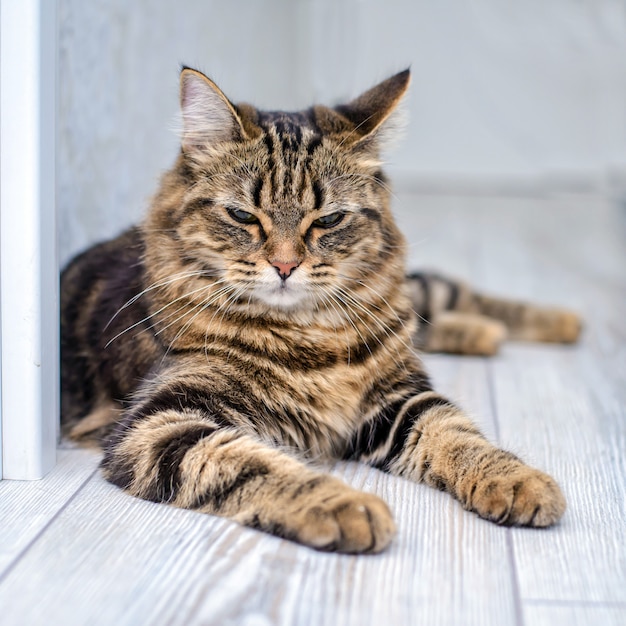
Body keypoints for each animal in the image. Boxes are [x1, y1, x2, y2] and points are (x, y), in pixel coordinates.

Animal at [59, 68, 580, 552]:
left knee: (443, 293)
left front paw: (517, 480)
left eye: (328, 220)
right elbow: (252, 464)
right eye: (243, 216)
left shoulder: (396, 401)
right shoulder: (160, 422)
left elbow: (458, 434)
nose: (285, 266)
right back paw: (489, 334)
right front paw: (344, 505)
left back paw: (558, 322)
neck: (308, 335)